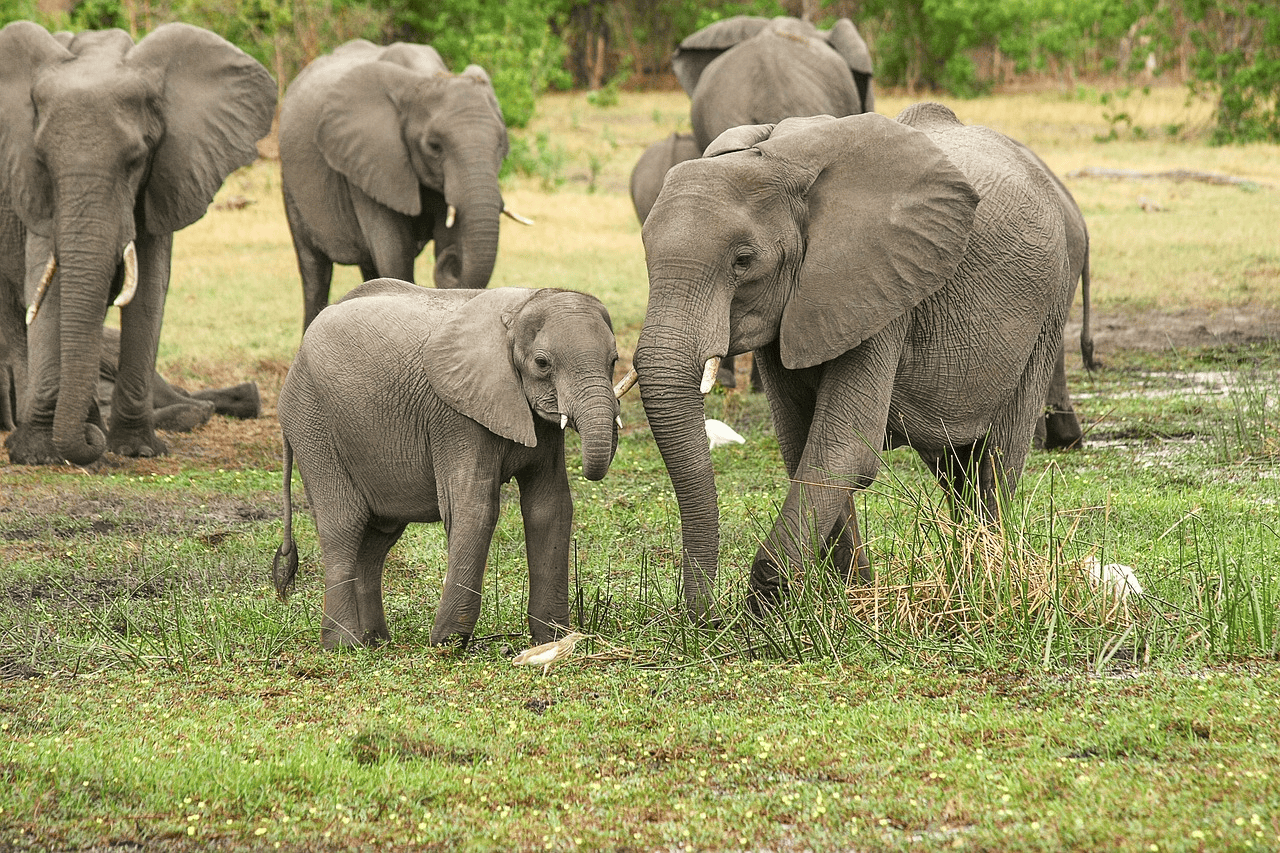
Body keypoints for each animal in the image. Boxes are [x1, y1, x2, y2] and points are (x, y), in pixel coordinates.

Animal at [0, 21, 279, 466]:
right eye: (42, 161)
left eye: (135, 160)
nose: (88, 444)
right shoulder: (31, 189)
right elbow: (48, 286)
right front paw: (37, 454)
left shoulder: (168, 172)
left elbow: (149, 288)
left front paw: (137, 449)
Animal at [272, 277, 622, 645]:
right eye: (542, 363)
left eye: (614, 360)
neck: (521, 307)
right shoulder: (456, 415)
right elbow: (474, 508)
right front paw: (447, 643)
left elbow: (550, 507)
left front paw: (553, 639)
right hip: (311, 420)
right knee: (344, 523)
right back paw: (343, 645)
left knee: (378, 537)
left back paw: (376, 641)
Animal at [279, 41, 519, 330]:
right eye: (434, 147)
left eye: (501, 145)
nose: (452, 259)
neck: (424, 77)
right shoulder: (371, 162)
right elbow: (394, 256)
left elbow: (444, 237)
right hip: (290, 185)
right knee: (315, 270)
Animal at [624, 106, 1075, 622]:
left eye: (743, 260)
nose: (707, 617)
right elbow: (802, 443)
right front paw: (852, 597)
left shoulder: (881, 289)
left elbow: (844, 448)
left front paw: (767, 610)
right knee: (954, 467)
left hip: (1048, 311)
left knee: (995, 461)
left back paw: (986, 580)